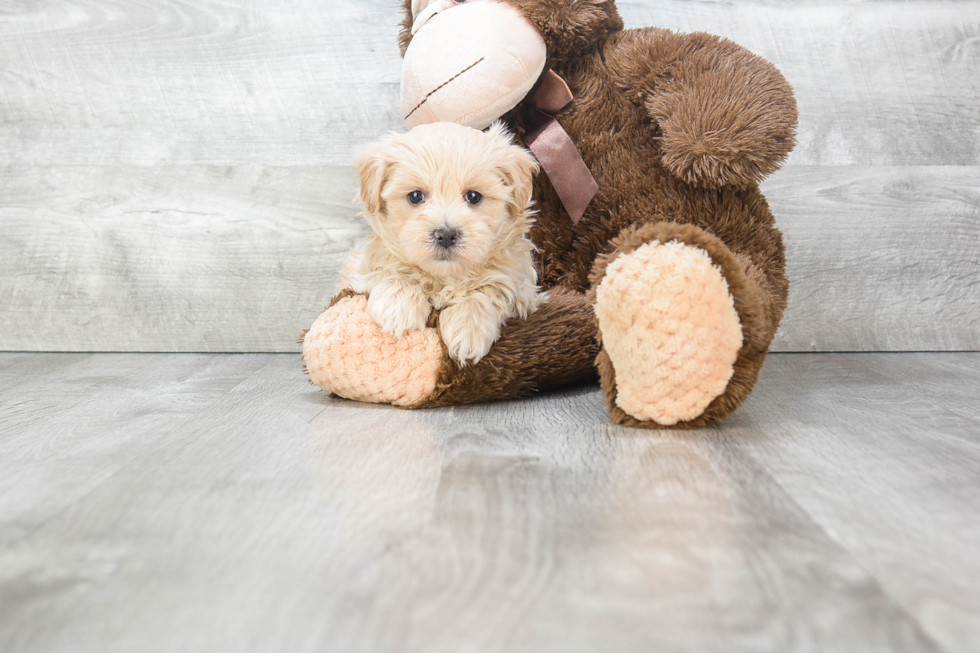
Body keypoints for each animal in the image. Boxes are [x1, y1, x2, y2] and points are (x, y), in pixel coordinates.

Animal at [346, 119, 548, 364]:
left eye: (473, 196)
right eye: (415, 196)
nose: (446, 235)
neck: (444, 277)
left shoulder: (523, 288)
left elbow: (492, 287)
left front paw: (469, 327)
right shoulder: (362, 270)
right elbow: (392, 269)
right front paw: (398, 306)